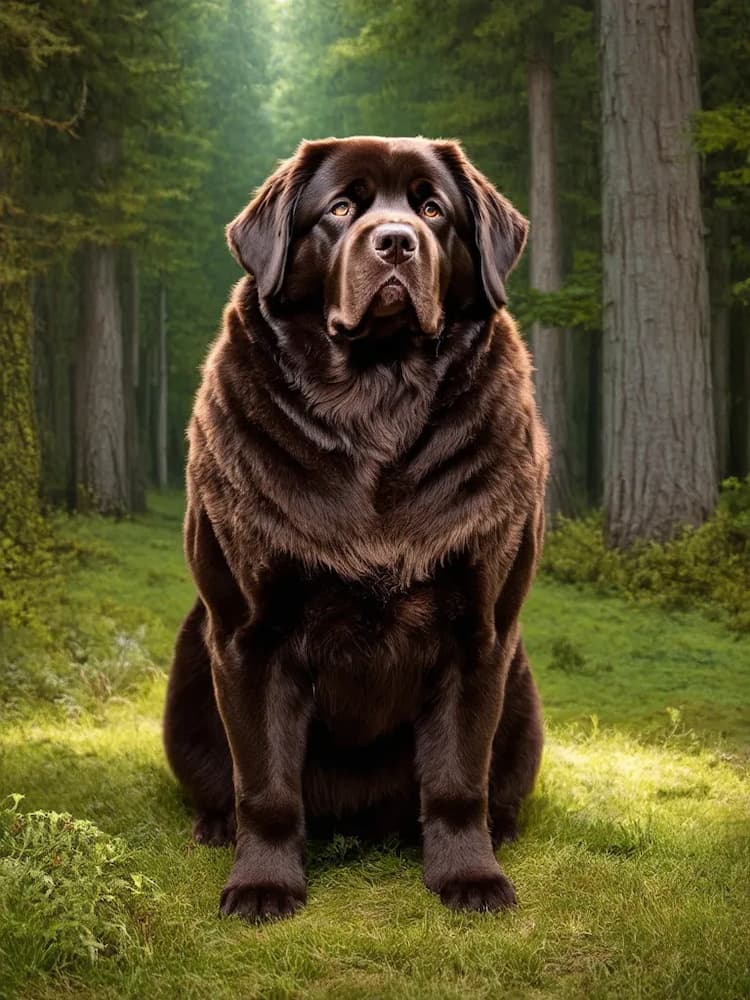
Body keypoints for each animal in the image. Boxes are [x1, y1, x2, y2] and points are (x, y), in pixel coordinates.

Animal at [164, 137, 548, 916]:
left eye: (433, 210)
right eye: (341, 209)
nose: (396, 240)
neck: (377, 399)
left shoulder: (481, 631)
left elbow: (459, 775)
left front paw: (470, 877)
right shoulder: (249, 633)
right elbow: (267, 785)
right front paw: (262, 886)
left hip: (523, 694)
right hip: (191, 664)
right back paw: (216, 828)